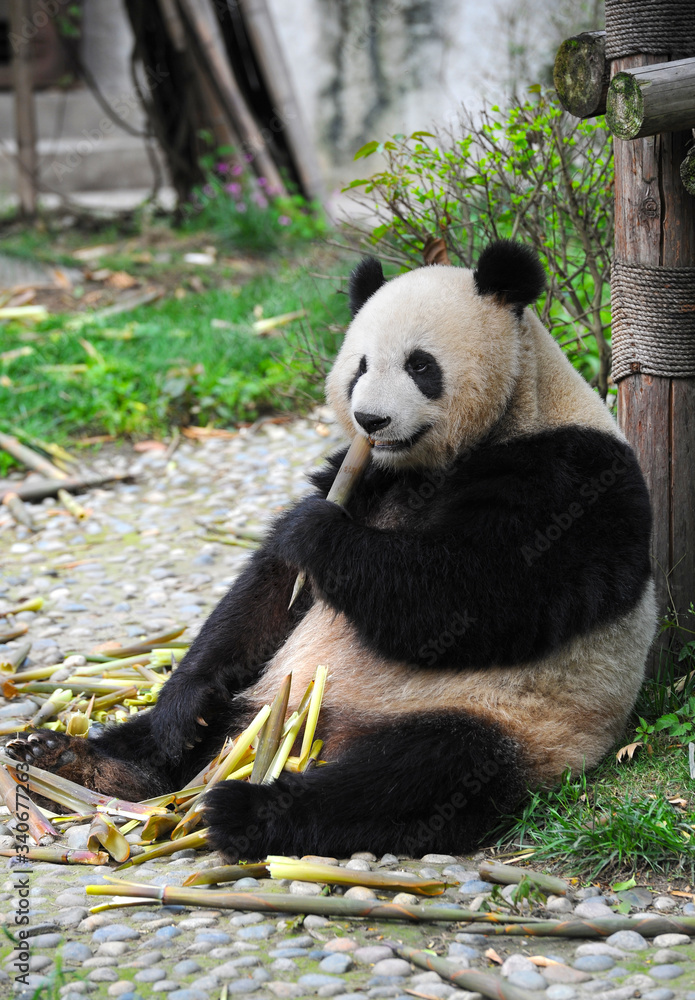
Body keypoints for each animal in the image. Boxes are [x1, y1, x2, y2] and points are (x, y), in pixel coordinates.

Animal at [5, 240, 656, 859]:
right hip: (269, 697)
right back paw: (75, 759)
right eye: (359, 366)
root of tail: (325, 735)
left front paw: (314, 531)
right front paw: (184, 705)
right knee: (187, 732)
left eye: (420, 365)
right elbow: (267, 594)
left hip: (509, 720)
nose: (371, 419)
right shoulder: (361, 473)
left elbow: (472, 597)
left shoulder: (570, 477)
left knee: (421, 773)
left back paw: (244, 810)